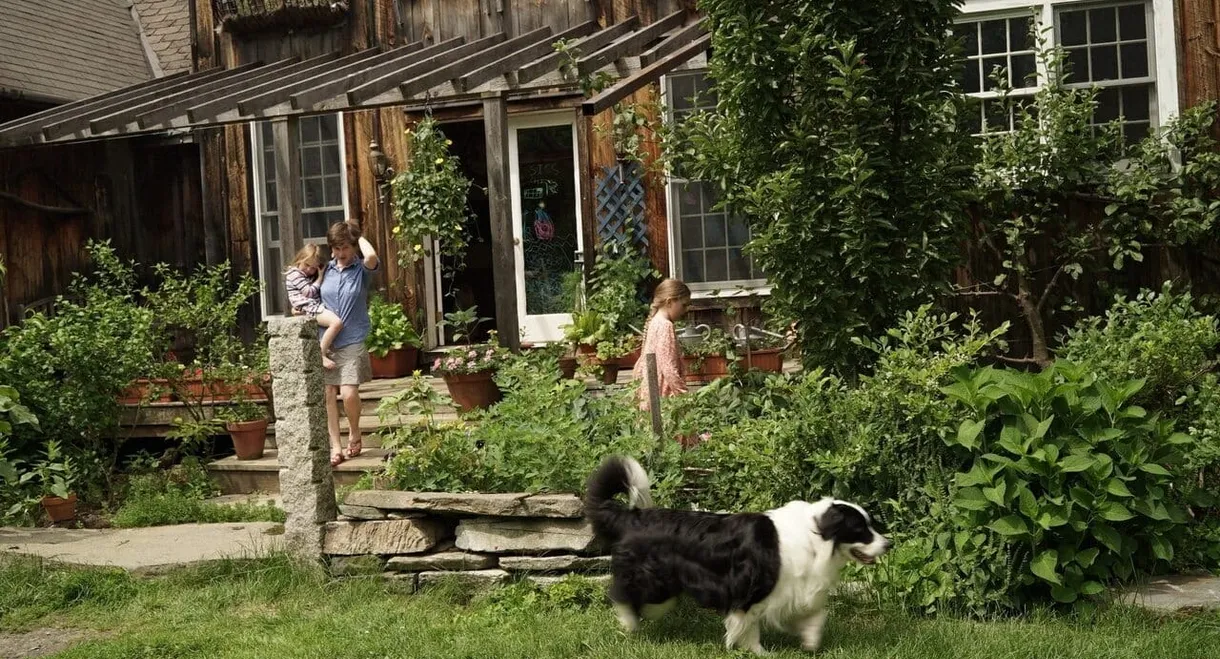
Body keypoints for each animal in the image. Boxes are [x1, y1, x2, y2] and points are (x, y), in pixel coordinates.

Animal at [585, 458, 893, 654]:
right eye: (861, 529)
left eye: (870, 525)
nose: (888, 544)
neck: (817, 535)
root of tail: (632, 516)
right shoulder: (749, 590)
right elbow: (747, 627)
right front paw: (759, 652)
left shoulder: (799, 589)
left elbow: (817, 618)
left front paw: (811, 644)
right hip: (653, 581)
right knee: (622, 593)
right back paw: (629, 622)